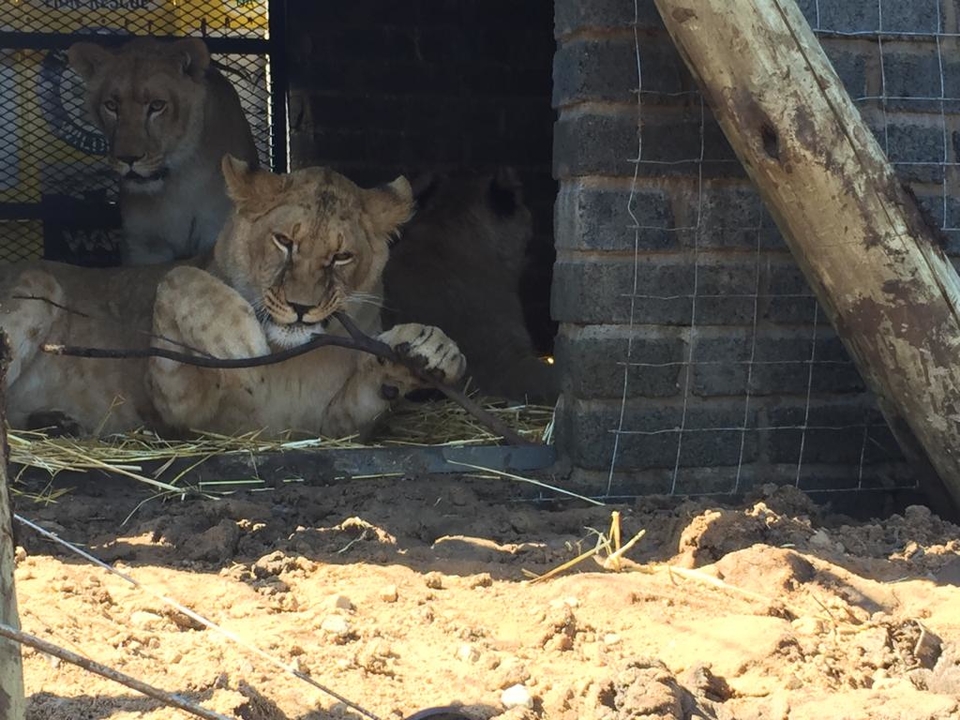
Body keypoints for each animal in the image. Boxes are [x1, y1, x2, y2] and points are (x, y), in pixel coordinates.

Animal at [0, 158, 464, 438]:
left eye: (341, 256)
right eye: (284, 242)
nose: (301, 308)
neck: (289, 358)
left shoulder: (330, 424)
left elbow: (371, 389)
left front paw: (432, 349)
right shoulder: (181, 419)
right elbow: (176, 277)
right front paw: (237, 338)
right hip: (37, 285)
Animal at [66, 35, 262, 264]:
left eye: (157, 105)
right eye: (111, 106)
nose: (127, 158)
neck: (177, 183)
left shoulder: (214, 232)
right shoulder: (142, 245)